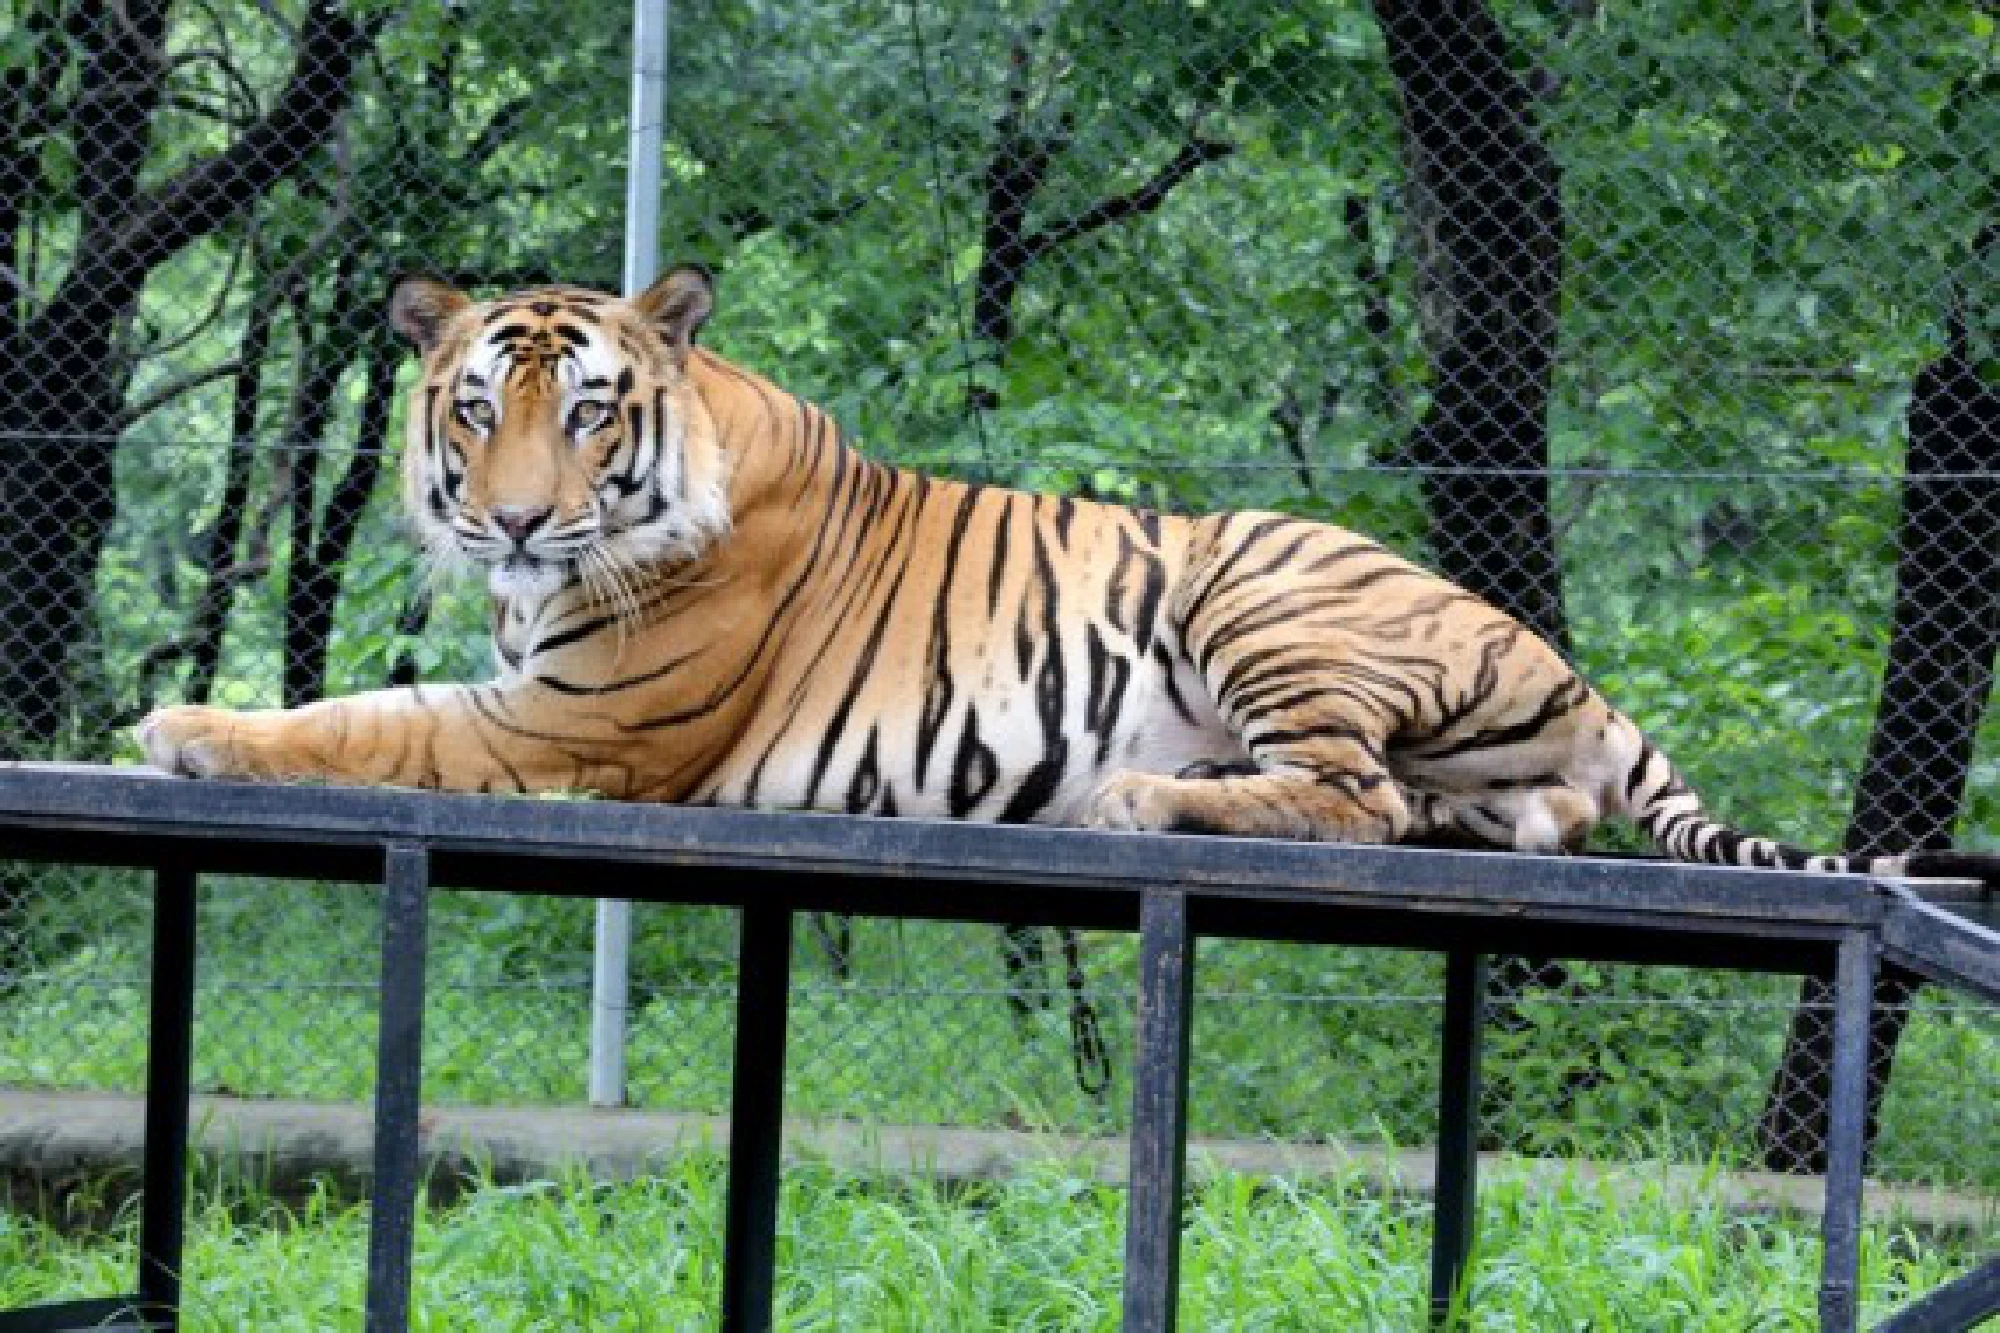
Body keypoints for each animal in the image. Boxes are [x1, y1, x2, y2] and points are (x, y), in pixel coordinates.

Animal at [136, 267, 1997, 892]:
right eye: (477, 405)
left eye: (589, 411)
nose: (520, 524)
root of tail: (1583, 677)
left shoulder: (571, 727)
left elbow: (371, 720)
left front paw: (187, 725)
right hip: (1458, 751)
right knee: (1451, 815)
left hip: (1258, 585)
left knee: (1347, 797)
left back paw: (1140, 805)